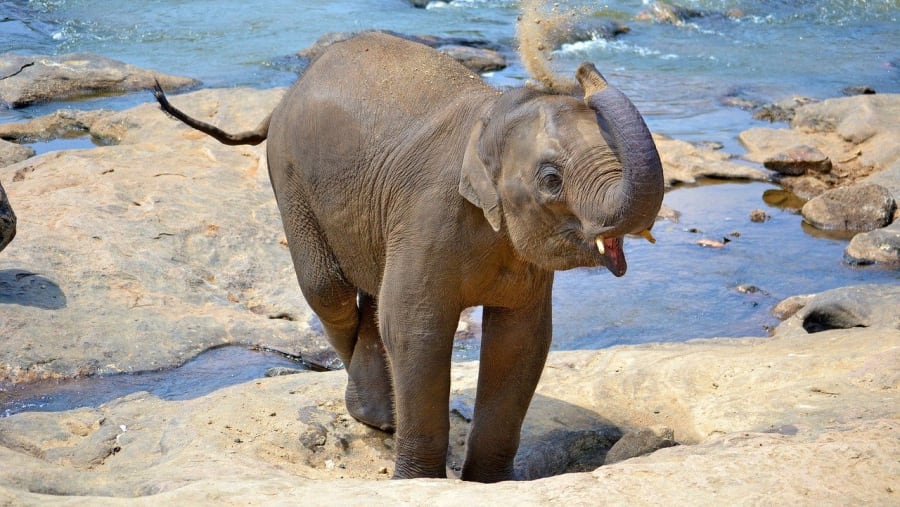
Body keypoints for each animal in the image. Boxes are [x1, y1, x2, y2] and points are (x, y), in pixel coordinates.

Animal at [153, 31, 664, 482]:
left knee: (371, 294)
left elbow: (521, 339)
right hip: (291, 180)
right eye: (552, 179)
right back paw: (376, 416)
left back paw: (381, 416)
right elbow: (416, 328)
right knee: (329, 292)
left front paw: (491, 485)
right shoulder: (429, 213)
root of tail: (284, 96)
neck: (494, 113)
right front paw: (417, 481)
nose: (584, 69)